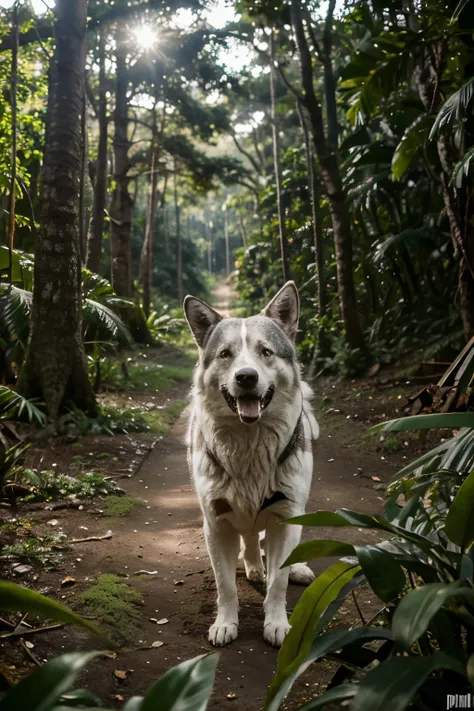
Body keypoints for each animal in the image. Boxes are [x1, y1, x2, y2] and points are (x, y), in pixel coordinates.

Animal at [184, 280, 318, 648]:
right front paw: (225, 623)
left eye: (266, 352)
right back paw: (253, 564)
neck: (250, 444)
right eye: (225, 354)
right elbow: (225, 585)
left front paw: (277, 623)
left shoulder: (286, 515)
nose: (246, 377)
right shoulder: (215, 523)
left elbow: (279, 581)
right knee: (248, 536)